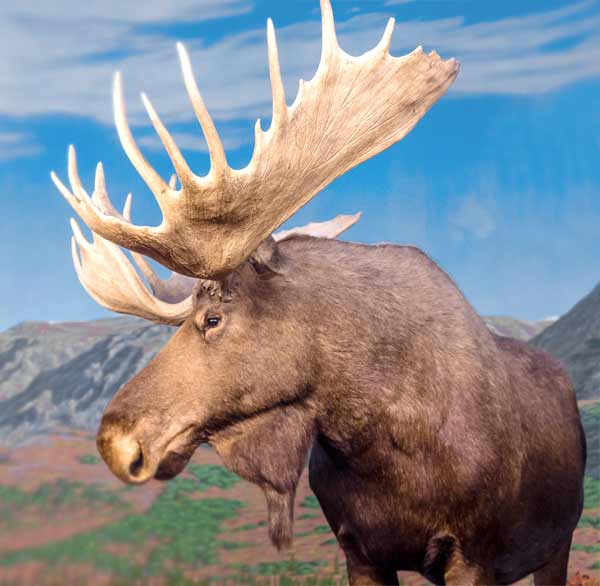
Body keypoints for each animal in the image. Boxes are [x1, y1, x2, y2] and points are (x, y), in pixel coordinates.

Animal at [51, 2, 584, 580]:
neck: (380, 444)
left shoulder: (474, 554)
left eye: (213, 318)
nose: (114, 440)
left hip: (557, 543)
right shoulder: (359, 550)